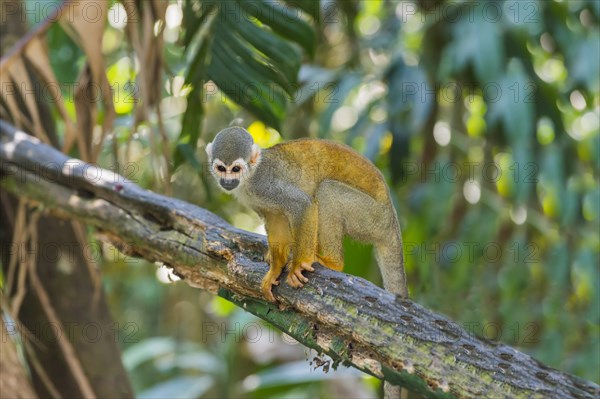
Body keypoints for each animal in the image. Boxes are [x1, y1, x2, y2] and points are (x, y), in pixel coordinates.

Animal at [206, 128, 408, 304]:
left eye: (236, 169)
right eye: (222, 168)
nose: (227, 181)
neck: (249, 178)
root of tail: (392, 221)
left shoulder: (264, 184)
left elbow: (302, 204)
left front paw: (297, 266)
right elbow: (275, 218)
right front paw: (276, 269)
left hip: (372, 217)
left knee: (327, 191)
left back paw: (333, 263)